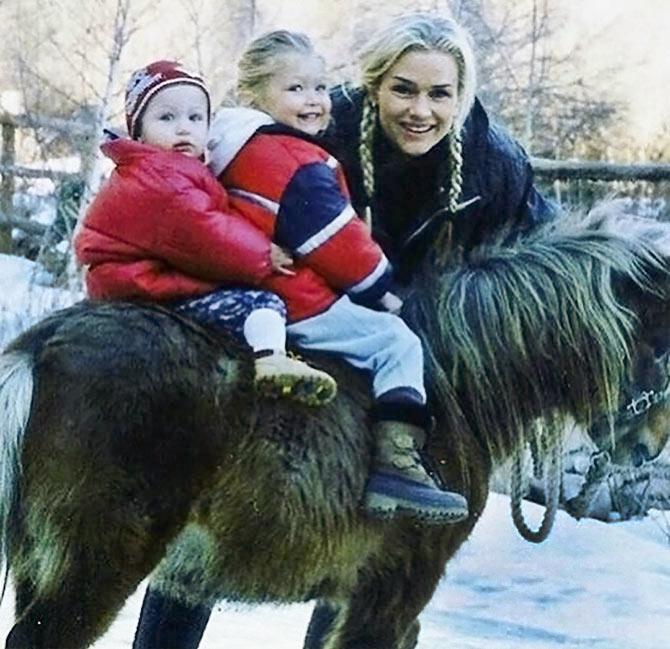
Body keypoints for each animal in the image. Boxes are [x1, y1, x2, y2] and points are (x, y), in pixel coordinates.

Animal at [0, 209, 668, 648]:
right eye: (661, 347)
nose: (650, 445)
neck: (454, 386)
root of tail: (39, 348)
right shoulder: (392, 594)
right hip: (94, 568)